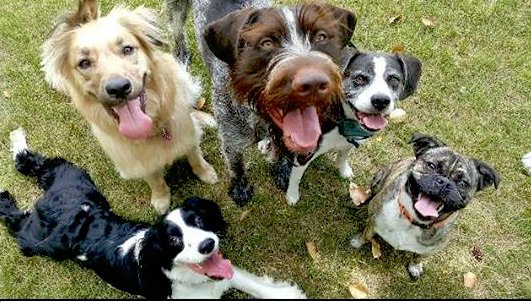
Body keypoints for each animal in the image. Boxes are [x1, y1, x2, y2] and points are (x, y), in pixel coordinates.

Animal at [0, 129, 308, 298]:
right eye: (173, 241)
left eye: (199, 220)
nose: (208, 244)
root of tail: (70, 210)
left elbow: (248, 282)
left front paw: (286, 293)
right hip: (36, 240)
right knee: (15, 220)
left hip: (71, 174)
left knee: (33, 161)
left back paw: (17, 138)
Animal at [39, 0, 218, 214]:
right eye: (84, 63)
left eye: (127, 49)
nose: (118, 88)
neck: (154, 129)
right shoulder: (138, 162)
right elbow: (155, 180)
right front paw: (161, 199)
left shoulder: (188, 135)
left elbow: (196, 157)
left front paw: (207, 173)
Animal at [352, 134, 500, 280]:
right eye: (431, 165)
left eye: (463, 183)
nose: (444, 182)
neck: (413, 221)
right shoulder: (374, 220)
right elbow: (366, 235)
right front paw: (357, 241)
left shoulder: (431, 249)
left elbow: (419, 257)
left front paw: (415, 267)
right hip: (377, 180)